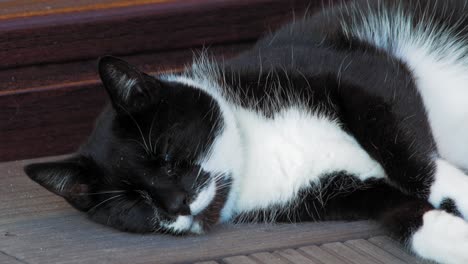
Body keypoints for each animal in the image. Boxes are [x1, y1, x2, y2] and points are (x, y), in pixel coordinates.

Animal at [24, 0, 468, 262]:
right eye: (133, 203)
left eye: (165, 157)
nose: (177, 205)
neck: (259, 150)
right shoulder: (332, 193)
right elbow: (398, 213)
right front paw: (455, 238)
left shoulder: (363, 70)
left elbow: (413, 156)